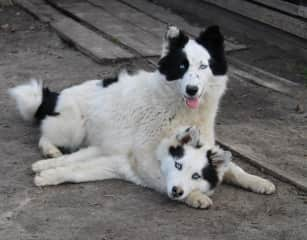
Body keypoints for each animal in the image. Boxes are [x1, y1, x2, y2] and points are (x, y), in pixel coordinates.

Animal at [9, 26, 276, 208]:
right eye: (182, 66)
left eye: (203, 66)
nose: (192, 90)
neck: (181, 111)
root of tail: (55, 95)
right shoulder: (145, 157)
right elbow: (164, 176)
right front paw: (195, 195)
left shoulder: (205, 146)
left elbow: (234, 169)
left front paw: (258, 181)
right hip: (73, 128)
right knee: (44, 135)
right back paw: (50, 151)